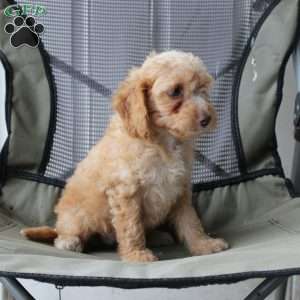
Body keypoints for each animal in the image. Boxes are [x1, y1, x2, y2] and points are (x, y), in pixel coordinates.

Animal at [22, 50, 229, 262]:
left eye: (203, 88)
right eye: (175, 92)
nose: (207, 119)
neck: (164, 140)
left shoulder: (181, 188)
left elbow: (190, 220)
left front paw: (203, 244)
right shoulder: (126, 190)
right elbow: (132, 226)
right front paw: (137, 255)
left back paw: (156, 236)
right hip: (78, 216)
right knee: (65, 232)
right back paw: (69, 241)